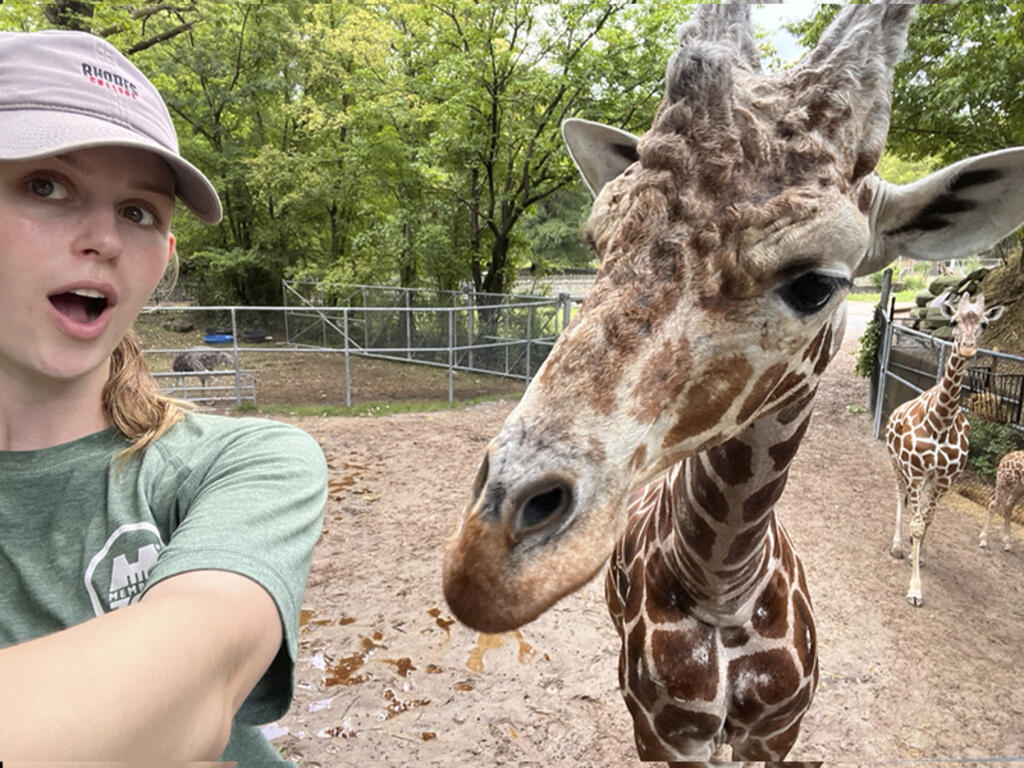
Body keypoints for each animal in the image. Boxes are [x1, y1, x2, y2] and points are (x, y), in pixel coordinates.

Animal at [886, 293, 1003, 607]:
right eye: (953, 321)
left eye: (984, 323)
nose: (967, 347)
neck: (940, 420)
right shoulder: (914, 471)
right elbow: (916, 523)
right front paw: (915, 590)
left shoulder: (943, 479)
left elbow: (927, 521)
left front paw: (919, 557)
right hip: (897, 465)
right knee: (898, 496)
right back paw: (898, 546)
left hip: (927, 479)